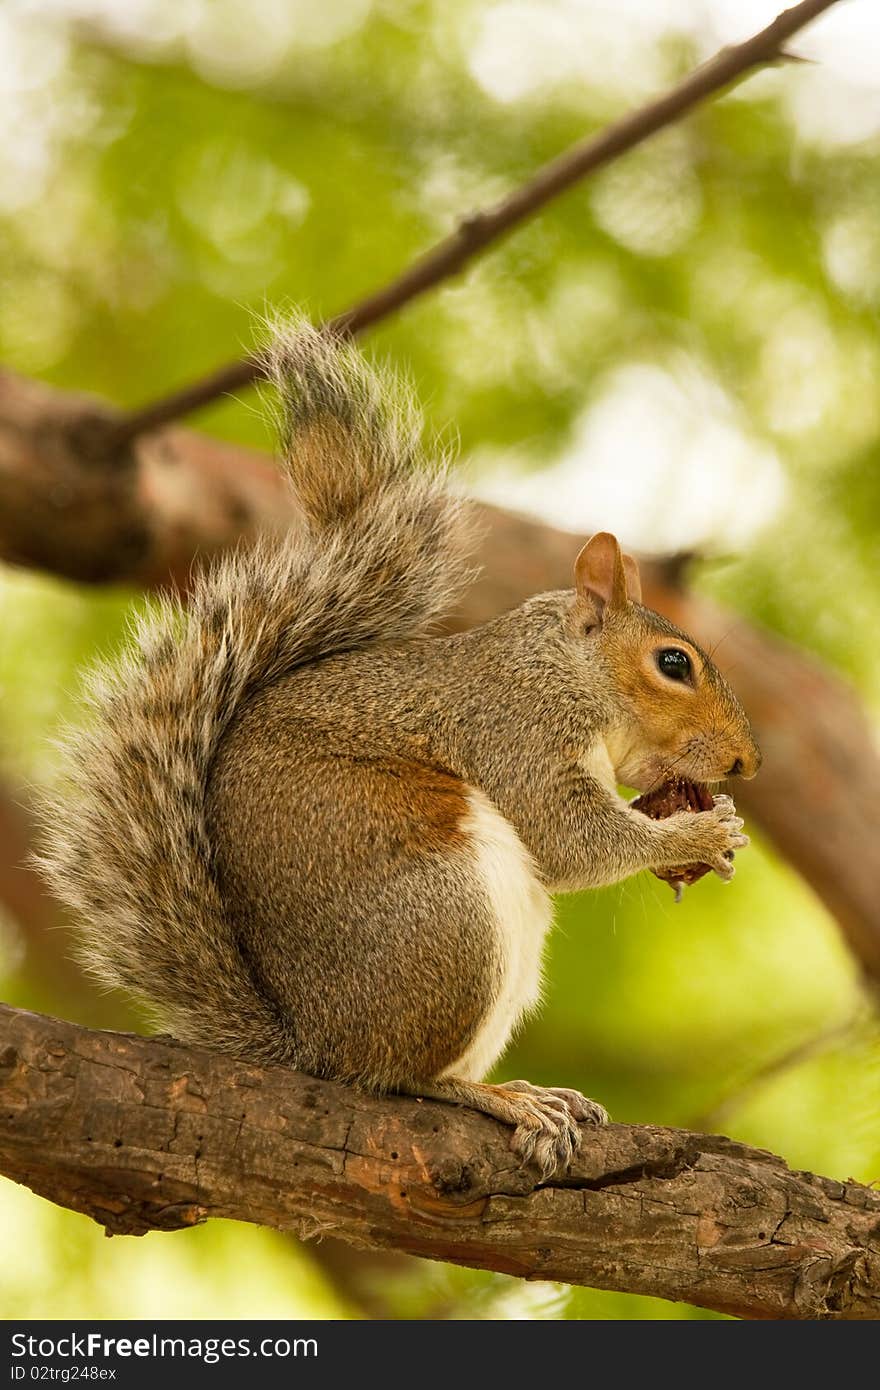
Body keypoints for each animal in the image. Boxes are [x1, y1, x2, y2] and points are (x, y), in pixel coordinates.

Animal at [37, 319, 756, 1178]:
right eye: (673, 664)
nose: (746, 762)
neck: (562, 668)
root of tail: (314, 1041)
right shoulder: (515, 727)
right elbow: (568, 838)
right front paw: (697, 833)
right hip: (447, 918)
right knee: (401, 1076)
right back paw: (501, 1098)